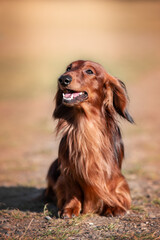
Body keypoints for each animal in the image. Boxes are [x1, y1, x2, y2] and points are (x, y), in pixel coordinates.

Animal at [45, 59, 133, 218]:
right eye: (68, 68)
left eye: (89, 71)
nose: (63, 79)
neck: (86, 124)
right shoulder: (69, 171)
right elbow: (72, 190)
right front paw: (71, 208)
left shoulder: (112, 171)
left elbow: (111, 187)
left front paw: (113, 205)